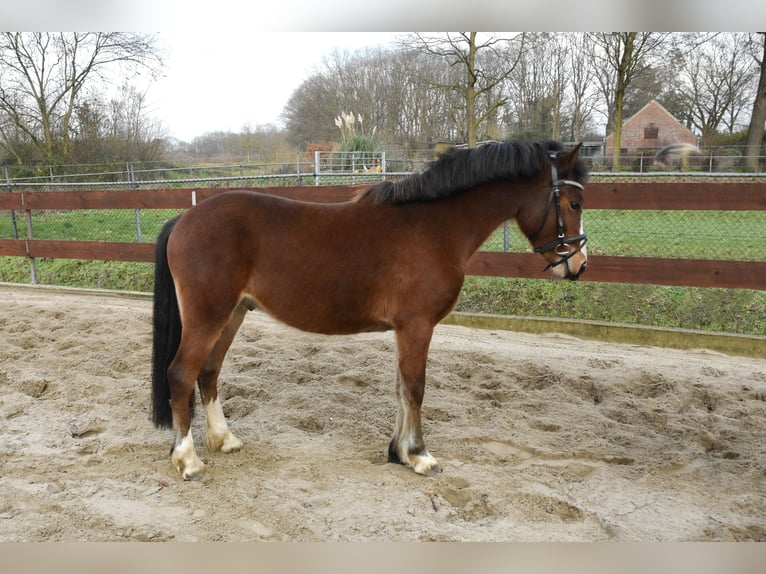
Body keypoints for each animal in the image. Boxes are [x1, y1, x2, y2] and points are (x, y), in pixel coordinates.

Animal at [151, 140, 589, 480]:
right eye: (574, 202)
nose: (580, 264)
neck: (434, 228)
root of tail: (185, 218)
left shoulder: (405, 329)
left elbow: (401, 388)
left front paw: (398, 452)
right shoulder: (417, 325)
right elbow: (415, 387)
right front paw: (420, 456)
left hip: (234, 314)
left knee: (208, 372)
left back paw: (224, 440)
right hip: (209, 316)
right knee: (181, 374)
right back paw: (188, 460)